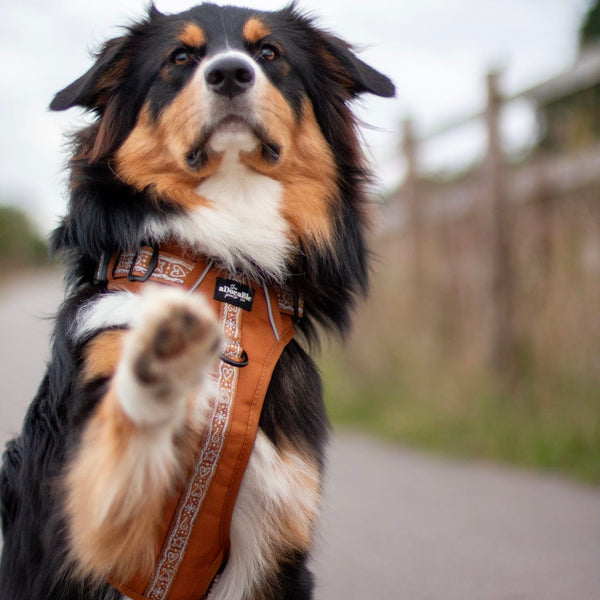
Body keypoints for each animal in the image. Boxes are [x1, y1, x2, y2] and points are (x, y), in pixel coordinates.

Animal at [0, 4, 394, 600]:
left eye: (269, 53)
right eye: (180, 57)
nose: (230, 73)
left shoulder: (278, 538)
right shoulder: (79, 525)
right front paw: (161, 363)